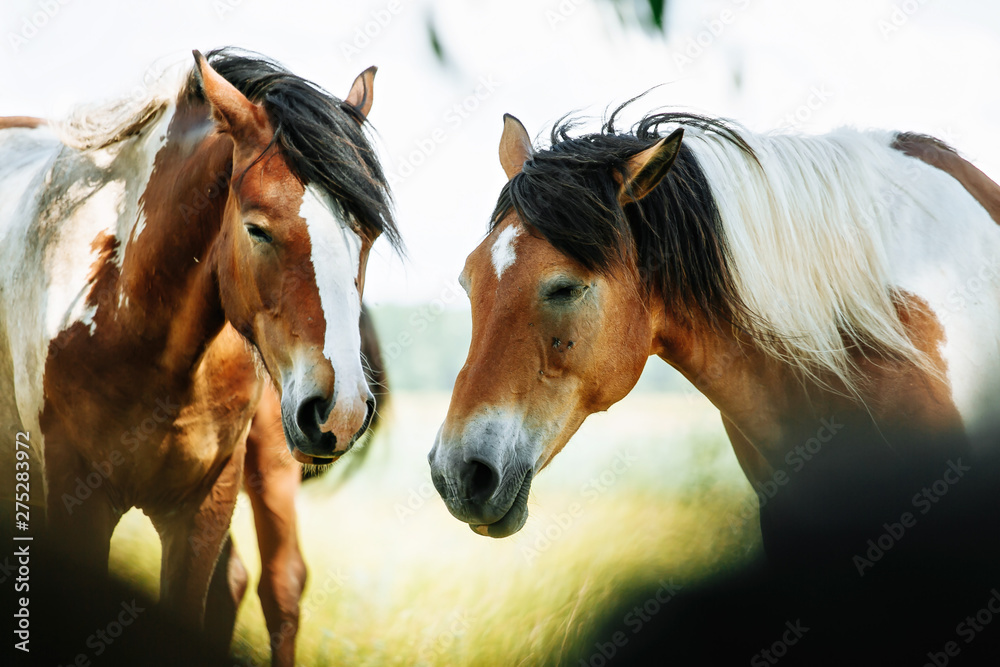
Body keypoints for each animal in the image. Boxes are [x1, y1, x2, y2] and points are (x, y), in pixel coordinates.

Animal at [0, 47, 398, 661]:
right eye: (257, 228)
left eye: (369, 235)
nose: (343, 410)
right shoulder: (74, 506)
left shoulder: (200, 512)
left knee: (276, 585)